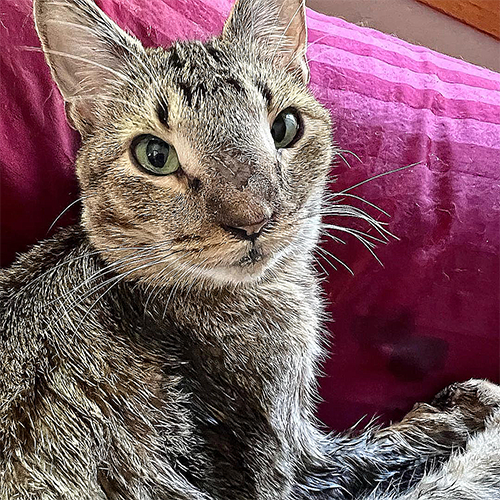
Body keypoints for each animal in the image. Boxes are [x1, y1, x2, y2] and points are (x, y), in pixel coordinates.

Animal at [0, 0, 500, 498]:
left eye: (285, 127)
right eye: (155, 156)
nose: (253, 220)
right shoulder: (297, 467)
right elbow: (401, 449)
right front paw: (468, 410)